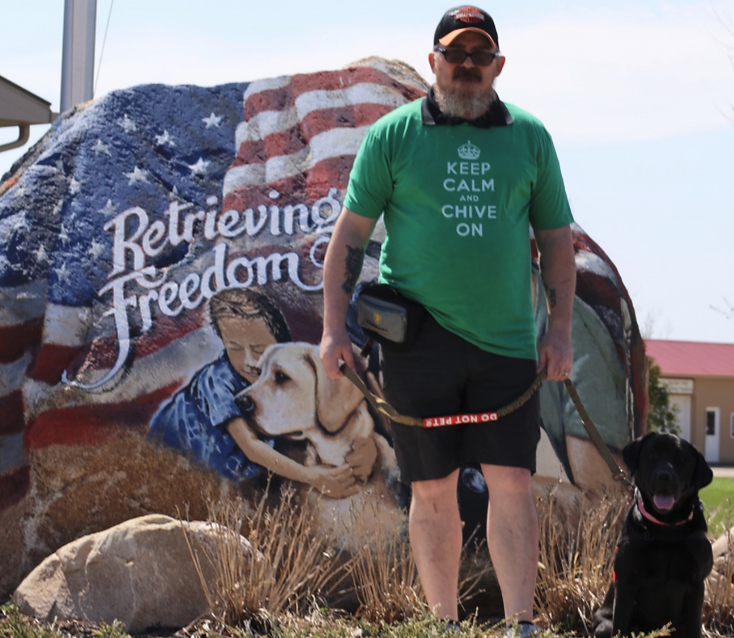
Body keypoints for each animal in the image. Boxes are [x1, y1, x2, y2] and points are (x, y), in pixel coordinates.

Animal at [596, 436, 716, 638]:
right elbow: (620, 624)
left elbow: (694, 626)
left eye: (682, 459)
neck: (666, 529)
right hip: (603, 626)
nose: (664, 476)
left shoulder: (696, 583)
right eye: (651, 455)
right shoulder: (626, 582)